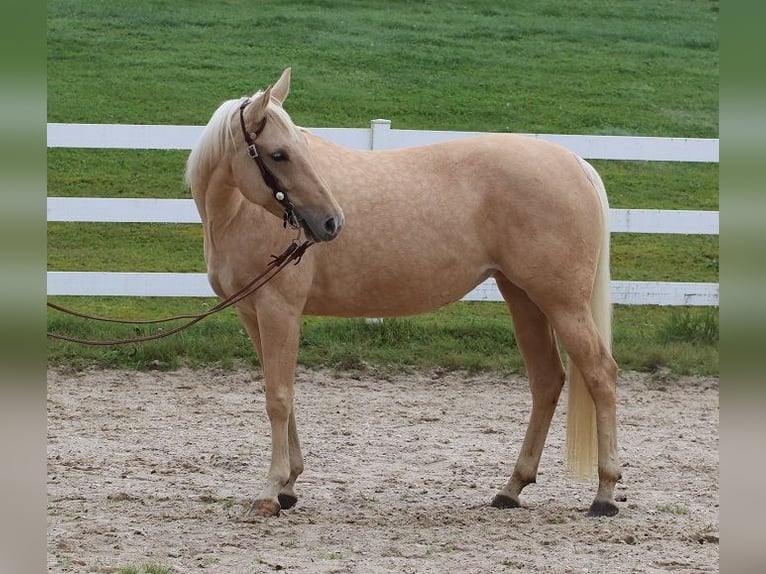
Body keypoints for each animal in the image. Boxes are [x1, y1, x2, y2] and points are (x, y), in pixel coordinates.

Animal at [186, 68, 624, 520]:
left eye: (298, 148)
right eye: (278, 154)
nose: (331, 222)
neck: (238, 212)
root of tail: (575, 163)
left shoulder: (279, 310)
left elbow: (277, 398)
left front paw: (271, 490)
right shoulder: (253, 313)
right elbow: (284, 398)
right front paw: (289, 484)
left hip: (563, 303)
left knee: (600, 374)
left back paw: (604, 493)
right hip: (524, 298)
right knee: (547, 380)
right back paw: (512, 488)